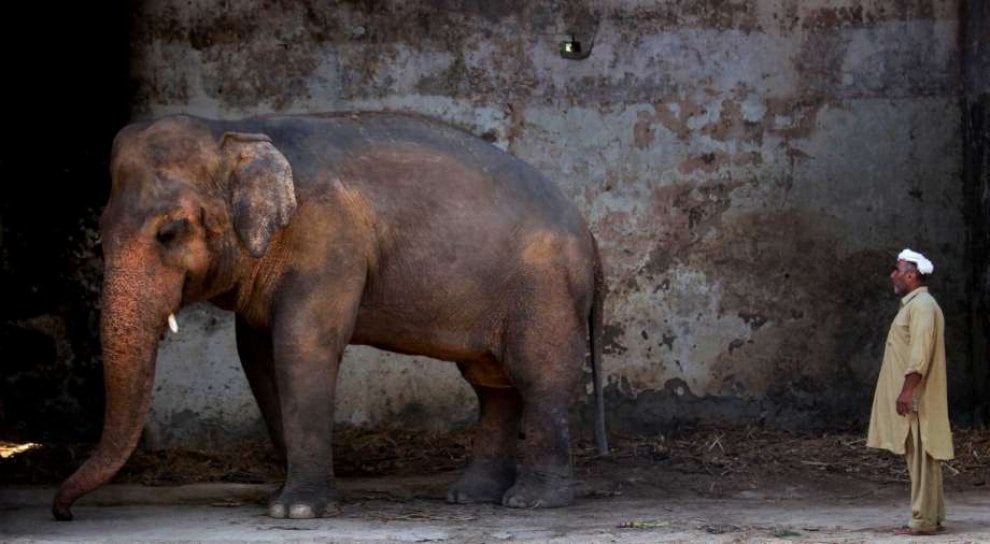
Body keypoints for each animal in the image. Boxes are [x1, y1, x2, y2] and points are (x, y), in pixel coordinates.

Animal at [52, 112, 607, 520]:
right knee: (493, 384)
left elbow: (302, 346)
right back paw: (470, 496)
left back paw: (531, 502)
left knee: (539, 377)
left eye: (169, 233)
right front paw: (281, 500)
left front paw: (296, 512)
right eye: (99, 232)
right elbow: (257, 356)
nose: (64, 514)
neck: (236, 130)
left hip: (546, 290)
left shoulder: (327, 239)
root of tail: (591, 237)